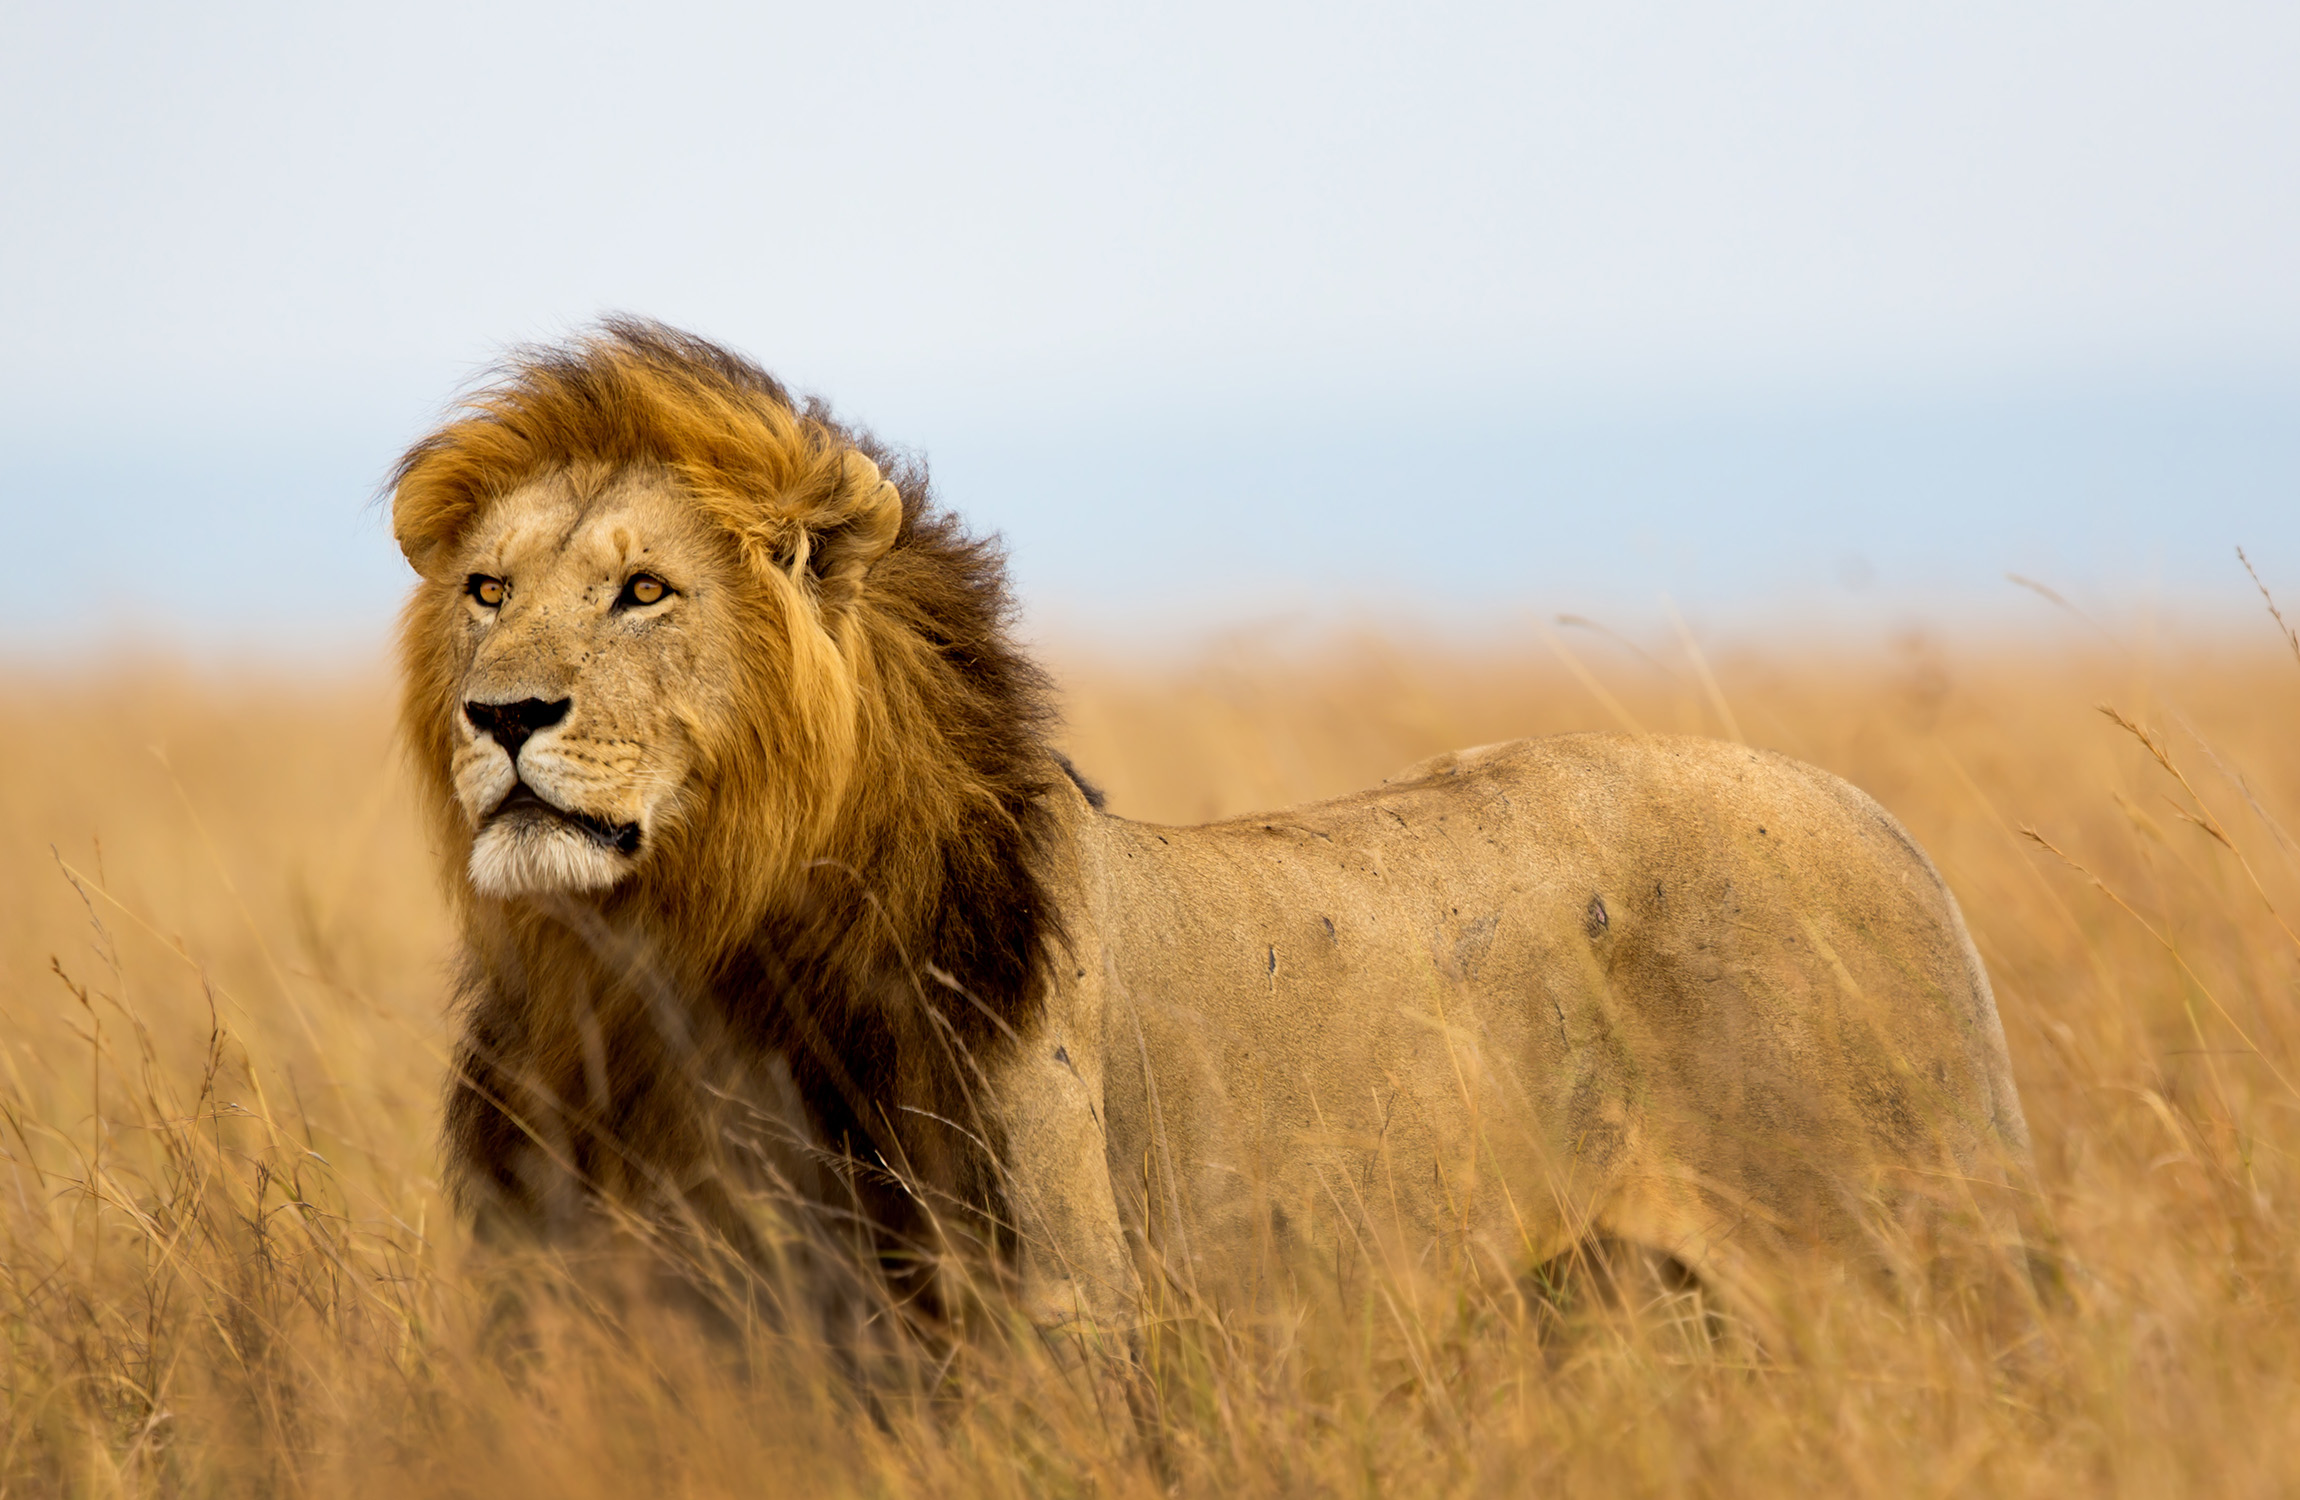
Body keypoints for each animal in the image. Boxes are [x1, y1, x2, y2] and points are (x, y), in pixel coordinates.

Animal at [391, 319, 2033, 1356]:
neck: (666, 966)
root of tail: (1885, 826)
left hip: (1900, 1266)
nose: (503, 715)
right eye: (486, 590)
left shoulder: (1045, 1318)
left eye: (643, 592)